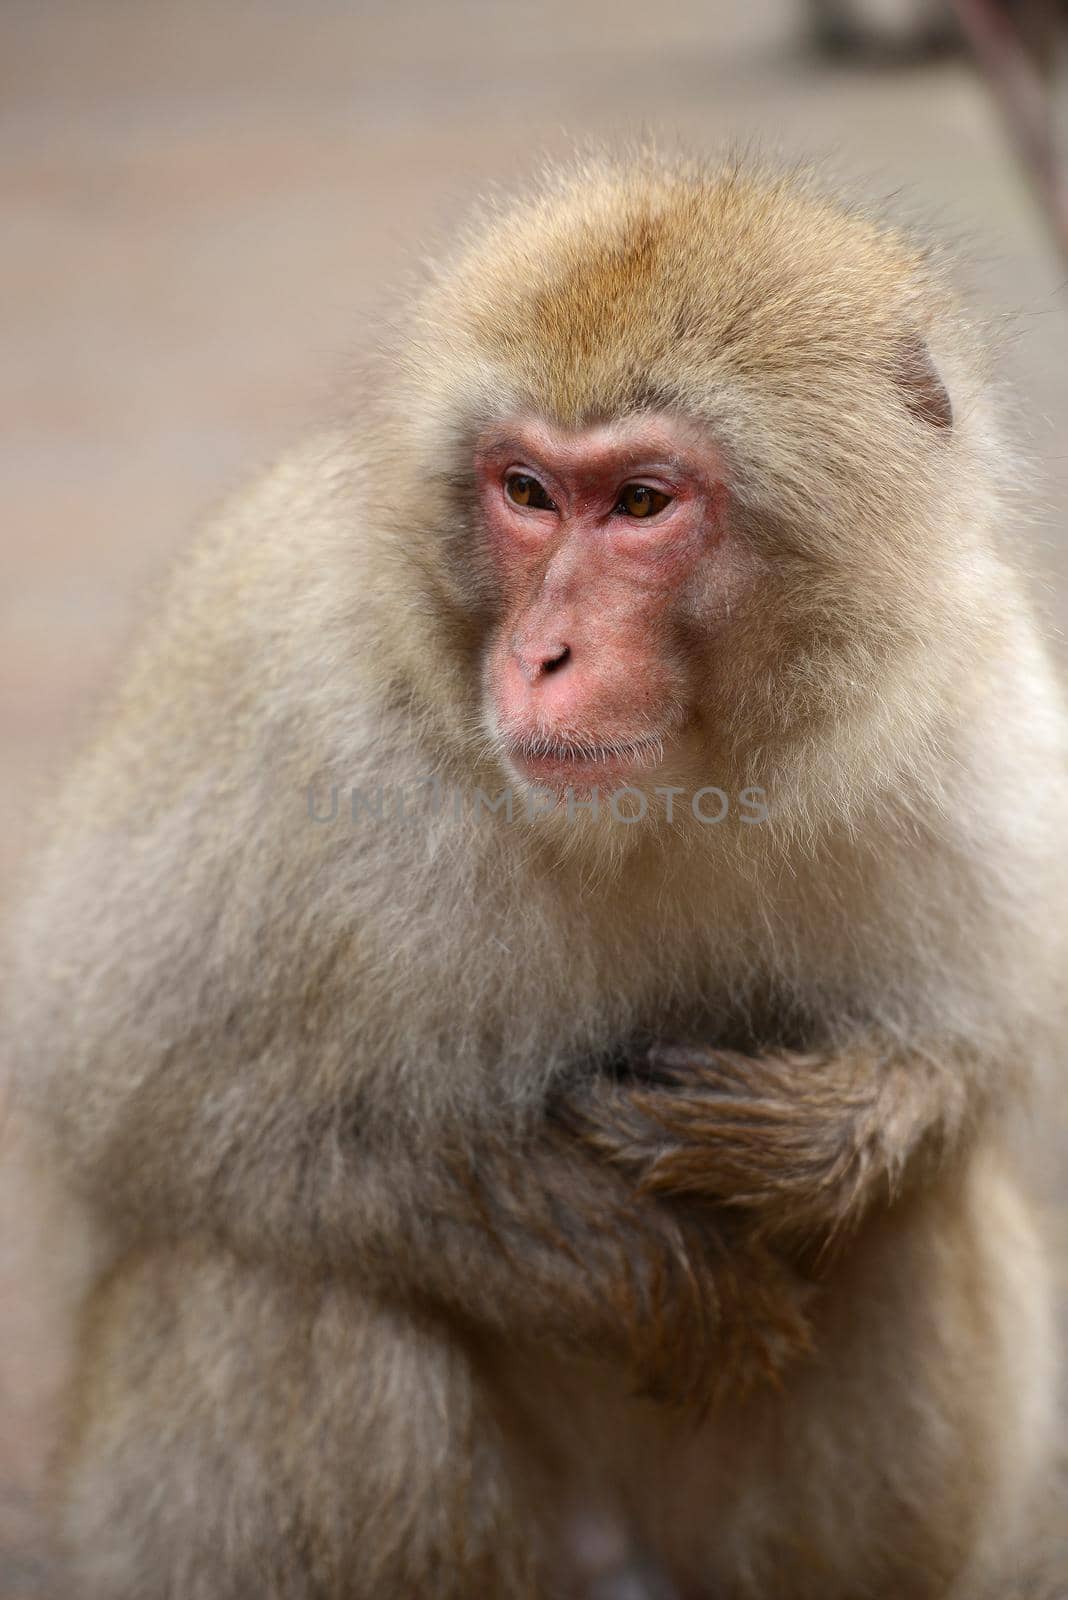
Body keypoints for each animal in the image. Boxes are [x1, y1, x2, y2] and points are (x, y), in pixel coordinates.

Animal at [2, 150, 1068, 1600]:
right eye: (525, 491)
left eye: (641, 504)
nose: (543, 654)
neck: (669, 799)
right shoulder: (279, 697)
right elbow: (146, 1117)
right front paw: (626, 1259)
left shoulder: (971, 697)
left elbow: (978, 1049)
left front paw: (812, 1139)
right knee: (281, 1287)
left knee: (908, 1228)